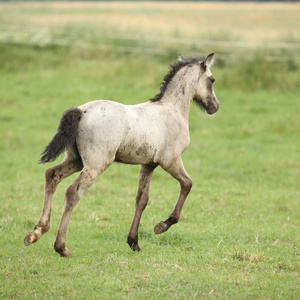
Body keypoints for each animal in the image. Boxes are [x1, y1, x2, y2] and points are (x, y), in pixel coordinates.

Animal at [24, 53, 219, 255]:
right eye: (212, 79)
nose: (215, 106)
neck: (172, 109)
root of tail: (82, 111)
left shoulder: (148, 164)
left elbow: (142, 199)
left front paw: (134, 242)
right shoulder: (171, 161)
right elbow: (187, 184)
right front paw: (162, 225)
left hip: (75, 160)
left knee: (52, 175)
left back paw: (36, 232)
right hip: (96, 164)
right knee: (72, 192)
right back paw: (61, 247)